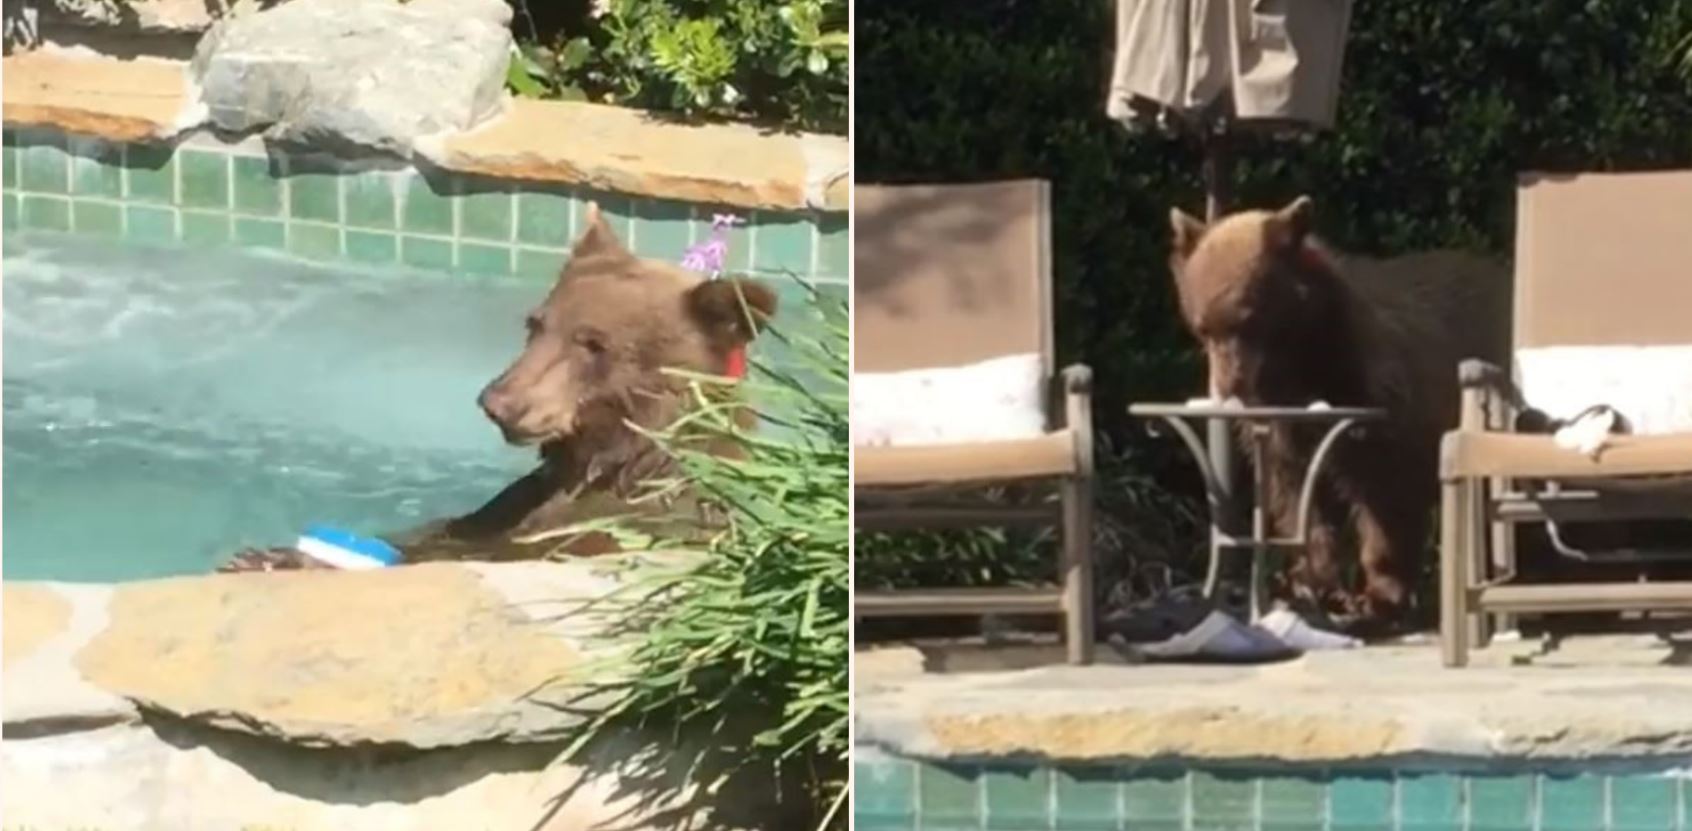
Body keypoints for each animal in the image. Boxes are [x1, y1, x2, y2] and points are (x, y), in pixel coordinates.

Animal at [218, 201, 778, 572]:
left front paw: (272, 558)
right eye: (537, 323)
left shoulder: (618, 527)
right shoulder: (513, 506)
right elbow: (446, 530)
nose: (499, 403)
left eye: (594, 343)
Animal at [1170, 197, 1516, 629]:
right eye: (1203, 326)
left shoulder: (1373, 400)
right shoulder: (1281, 426)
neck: (1300, 361)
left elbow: (1385, 493)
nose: (1229, 387)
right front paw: (1313, 584)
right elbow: (1297, 495)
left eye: (1247, 318)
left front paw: (1380, 594)